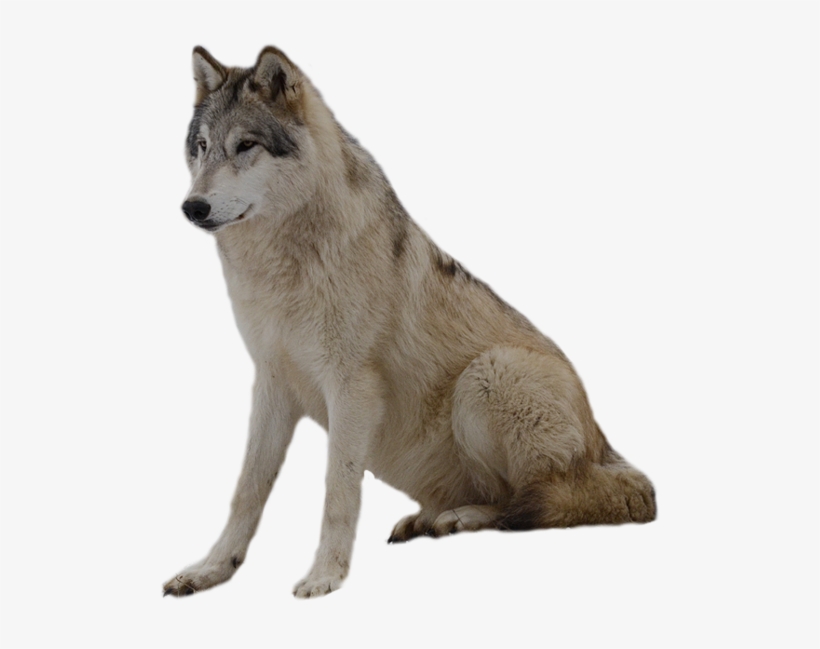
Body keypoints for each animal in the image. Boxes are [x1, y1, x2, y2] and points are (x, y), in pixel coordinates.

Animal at [163, 46, 656, 599]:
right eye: (202, 147)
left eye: (245, 145)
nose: (192, 207)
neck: (283, 265)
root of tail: (607, 448)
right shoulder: (271, 385)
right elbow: (247, 490)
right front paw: (211, 570)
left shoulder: (351, 388)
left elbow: (337, 490)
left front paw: (325, 576)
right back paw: (428, 520)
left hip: (487, 376)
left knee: (540, 503)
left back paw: (459, 518)